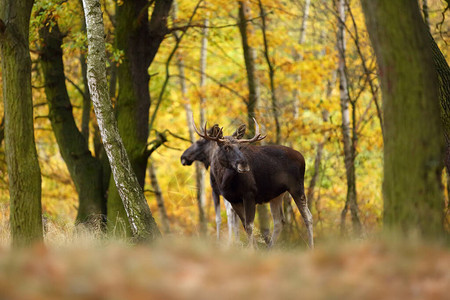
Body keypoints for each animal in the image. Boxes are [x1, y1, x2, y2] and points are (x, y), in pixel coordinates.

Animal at [183, 118, 312, 248]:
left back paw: (311, 247)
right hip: (277, 195)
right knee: (279, 221)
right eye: (226, 147)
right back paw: (270, 248)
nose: (244, 164)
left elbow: (249, 226)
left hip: (297, 187)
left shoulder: (249, 194)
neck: (224, 181)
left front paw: (250, 249)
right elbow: (244, 225)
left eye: (240, 147)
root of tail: (302, 157)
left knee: (308, 217)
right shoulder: (233, 200)